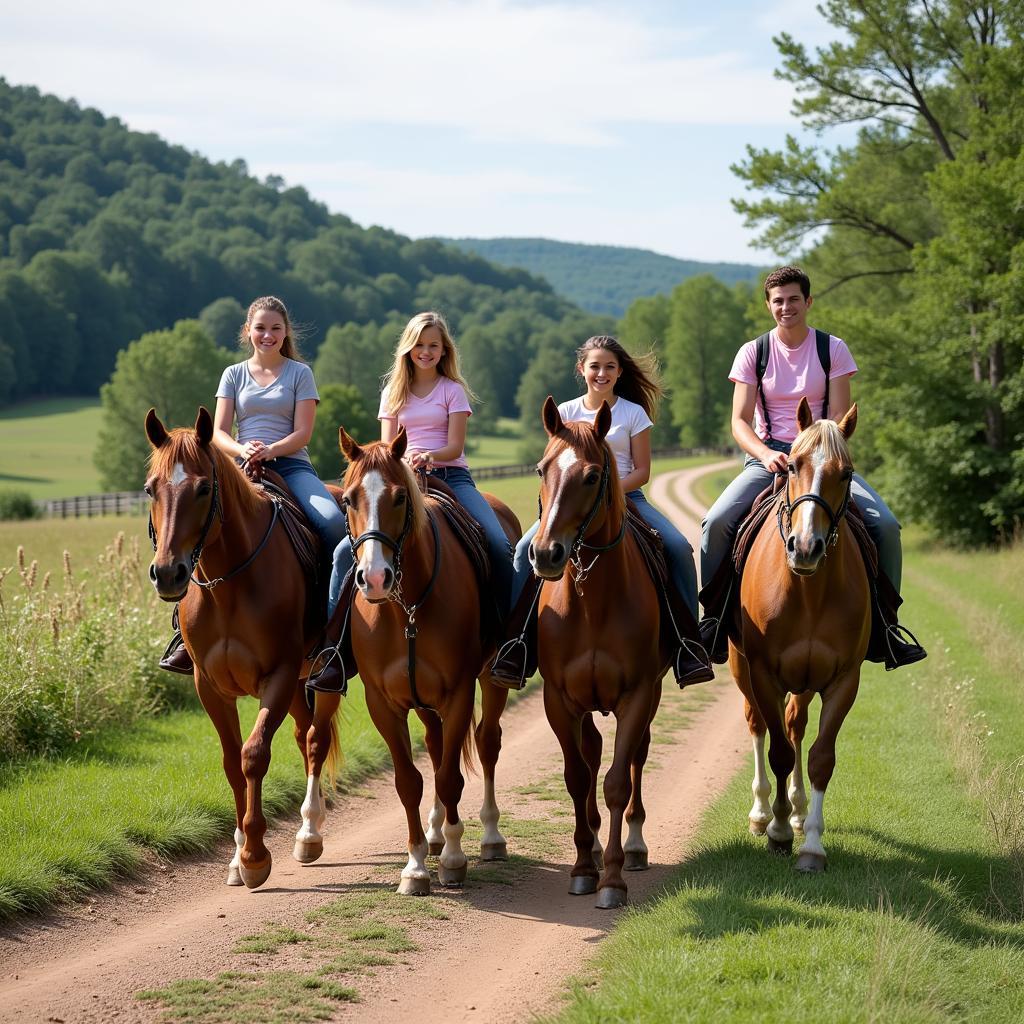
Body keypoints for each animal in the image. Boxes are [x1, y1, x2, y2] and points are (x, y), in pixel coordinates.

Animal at [145, 407, 344, 888]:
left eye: (202, 488)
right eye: (150, 489)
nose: (168, 573)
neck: (230, 582)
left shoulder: (278, 675)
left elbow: (254, 755)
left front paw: (255, 856)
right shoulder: (210, 686)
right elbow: (232, 763)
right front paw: (237, 857)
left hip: (323, 675)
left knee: (316, 738)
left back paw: (310, 833)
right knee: (303, 733)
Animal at [339, 423, 524, 897]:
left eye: (399, 497)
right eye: (348, 499)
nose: (375, 578)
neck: (405, 609)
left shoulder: (458, 693)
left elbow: (449, 776)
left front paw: (454, 860)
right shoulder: (383, 704)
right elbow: (410, 780)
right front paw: (416, 865)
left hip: (490, 681)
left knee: (487, 743)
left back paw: (489, 837)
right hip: (423, 702)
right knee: (438, 746)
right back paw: (437, 832)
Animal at [528, 395, 671, 909]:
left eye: (591, 476)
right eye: (541, 468)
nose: (545, 554)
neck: (593, 603)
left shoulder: (637, 696)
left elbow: (615, 782)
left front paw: (611, 878)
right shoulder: (559, 699)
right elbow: (577, 777)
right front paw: (583, 868)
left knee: (636, 758)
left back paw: (634, 847)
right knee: (589, 755)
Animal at [729, 399, 872, 872]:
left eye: (846, 473)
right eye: (792, 465)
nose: (805, 547)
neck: (809, 592)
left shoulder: (843, 679)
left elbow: (820, 758)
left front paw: (810, 844)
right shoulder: (763, 674)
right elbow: (778, 751)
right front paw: (776, 832)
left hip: (806, 680)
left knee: (795, 726)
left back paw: (795, 810)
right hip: (741, 668)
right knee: (759, 725)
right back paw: (762, 814)